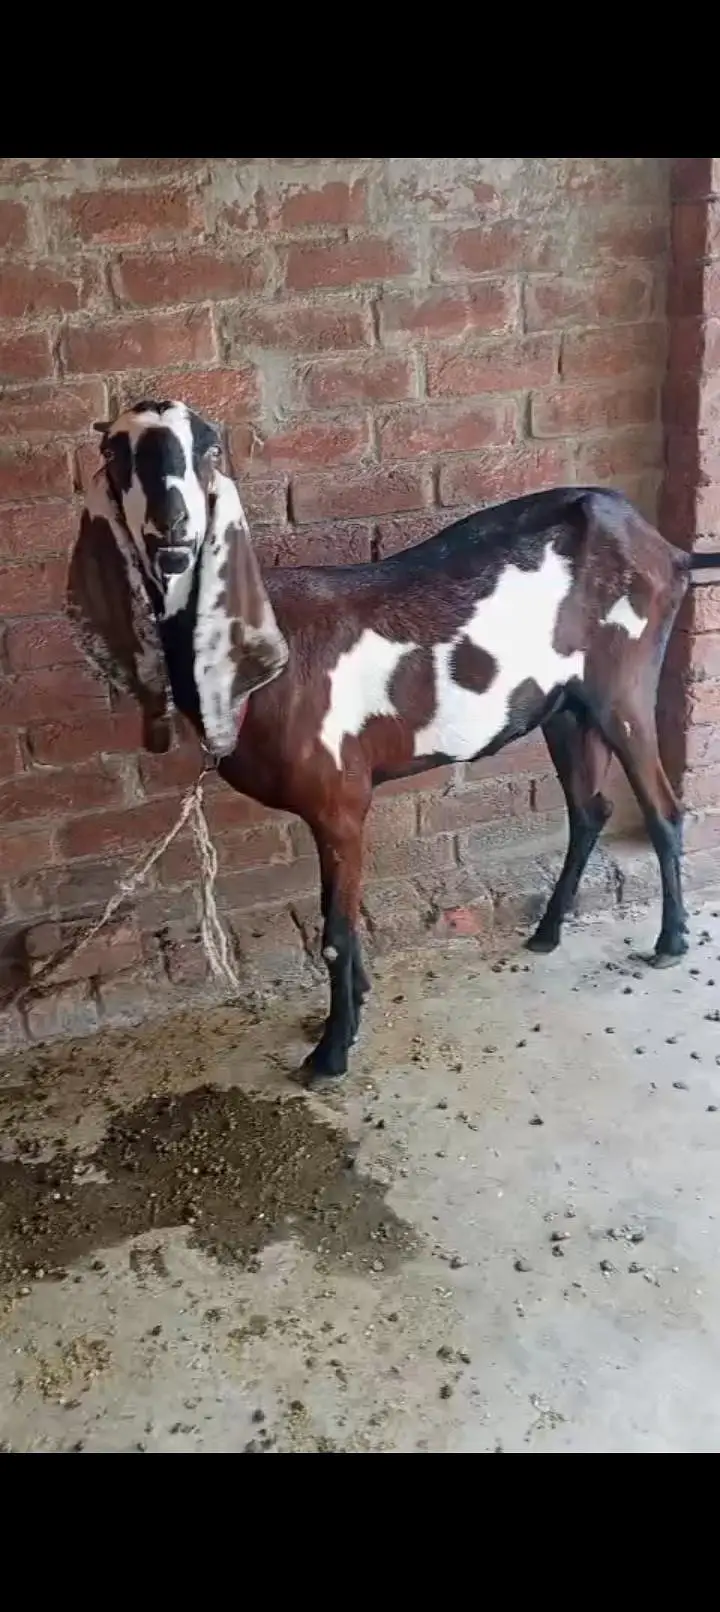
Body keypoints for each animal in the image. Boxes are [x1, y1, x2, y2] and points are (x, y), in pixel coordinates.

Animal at [67, 398, 718, 1088]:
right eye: (114, 450)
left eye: (210, 447)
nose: (174, 531)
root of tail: (669, 551)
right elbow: (342, 920)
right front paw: (353, 1010)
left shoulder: (341, 800)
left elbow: (335, 930)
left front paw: (331, 1052)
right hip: (566, 707)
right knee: (591, 809)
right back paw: (547, 932)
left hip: (624, 688)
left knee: (662, 807)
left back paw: (670, 943)